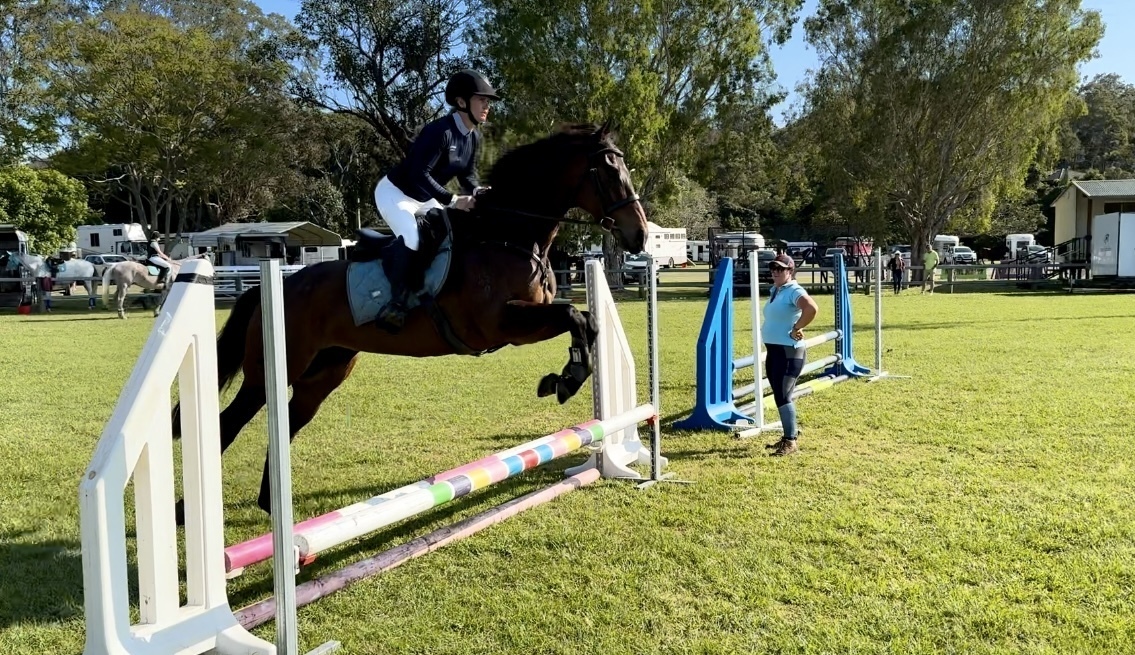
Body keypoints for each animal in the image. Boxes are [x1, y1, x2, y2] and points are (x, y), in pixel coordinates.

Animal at [169, 121, 649, 522]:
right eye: (608, 172)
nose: (639, 235)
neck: (507, 235)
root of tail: (281, 285)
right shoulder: (502, 325)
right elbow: (573, 315)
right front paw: (565, 380)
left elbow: (586, 322)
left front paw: (566, 377)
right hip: (268, 374)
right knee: (229, 423)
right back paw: (186, 516)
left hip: (323, 374)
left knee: (288, 420)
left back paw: (275, 513)